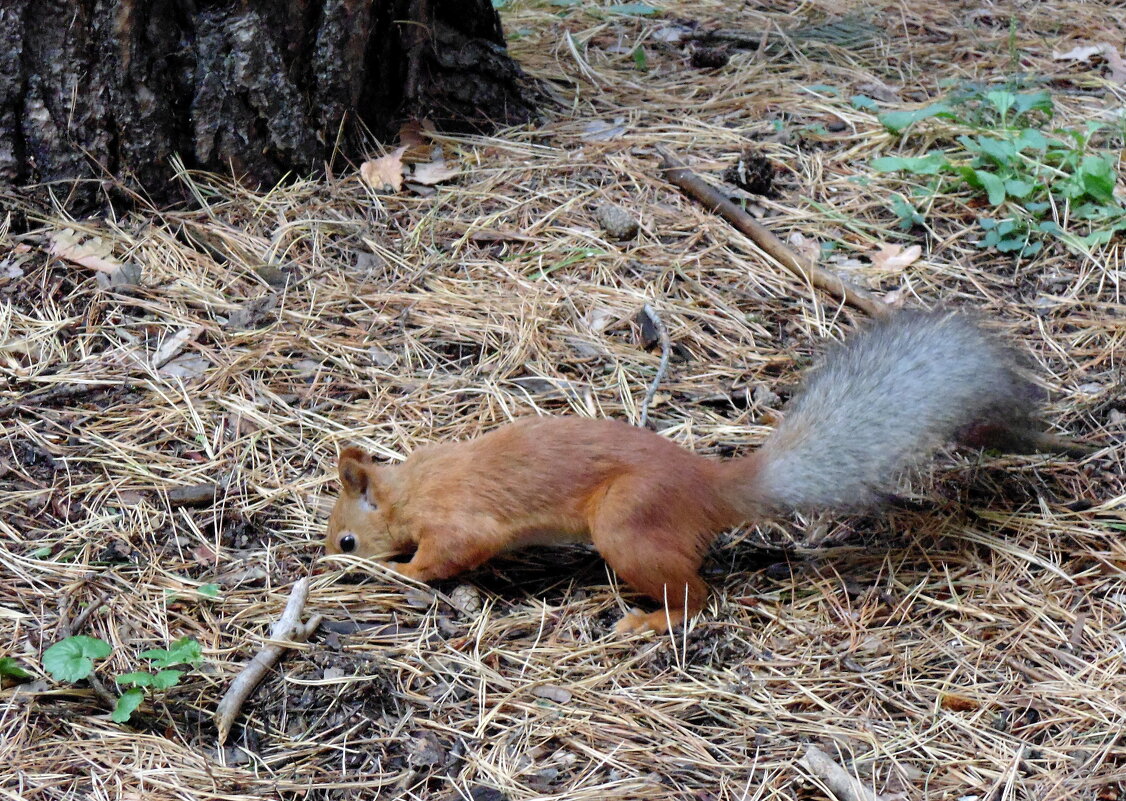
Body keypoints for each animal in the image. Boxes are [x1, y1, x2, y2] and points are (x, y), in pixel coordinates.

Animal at [324, 310, 1080, 635]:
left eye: (345, 540)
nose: (327, 564)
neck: (411, 485)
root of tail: (711, 487)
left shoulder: (458, 518)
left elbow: (452, 551)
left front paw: (401, 571)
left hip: (627, 525)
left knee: (699, 595)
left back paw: (645, 621)